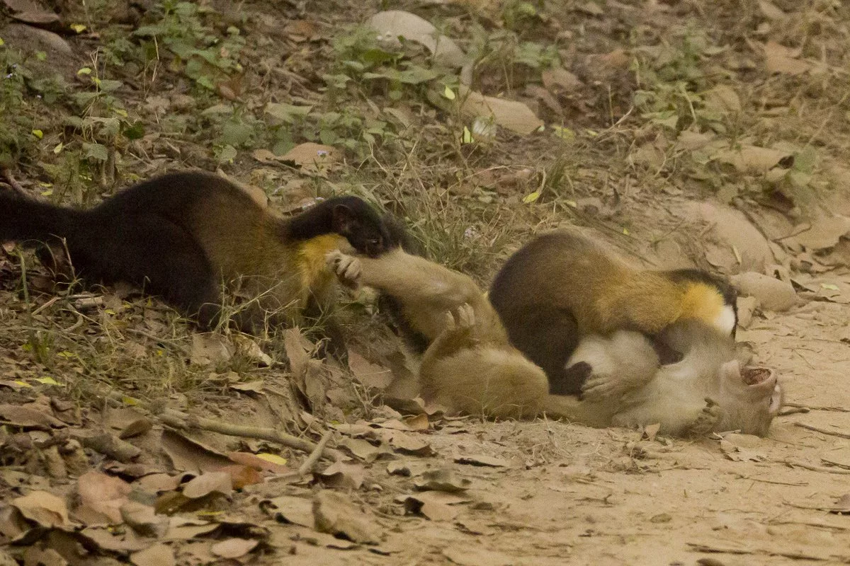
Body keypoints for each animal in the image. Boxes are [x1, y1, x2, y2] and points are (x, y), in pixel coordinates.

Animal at [1, 171, 394, 358]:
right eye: (375, 239)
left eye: (389, 234)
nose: (394, 253)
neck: (308, 265)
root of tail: (95, 218)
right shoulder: (278, 279)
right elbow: (280, 316)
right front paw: (312, 343)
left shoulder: (320, 289)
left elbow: (328, 320)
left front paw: (339, 347)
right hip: (166, 237)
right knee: (202, 305)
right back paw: (242, 321)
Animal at [322, 248, 780, 440]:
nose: (774, 383)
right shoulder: (683, 328)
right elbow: (640, 341)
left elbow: (631, 416)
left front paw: (704, 421)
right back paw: (358, 269)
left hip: (487, 344)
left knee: (526, 380)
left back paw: (443, 350)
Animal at [486, 230, 740, 394]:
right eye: (733, 330)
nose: (731, 351)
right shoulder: (640, 310)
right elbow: (649, 338)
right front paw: (672, 354)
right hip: (560, 324)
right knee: (548, 376)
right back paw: (578, 377)